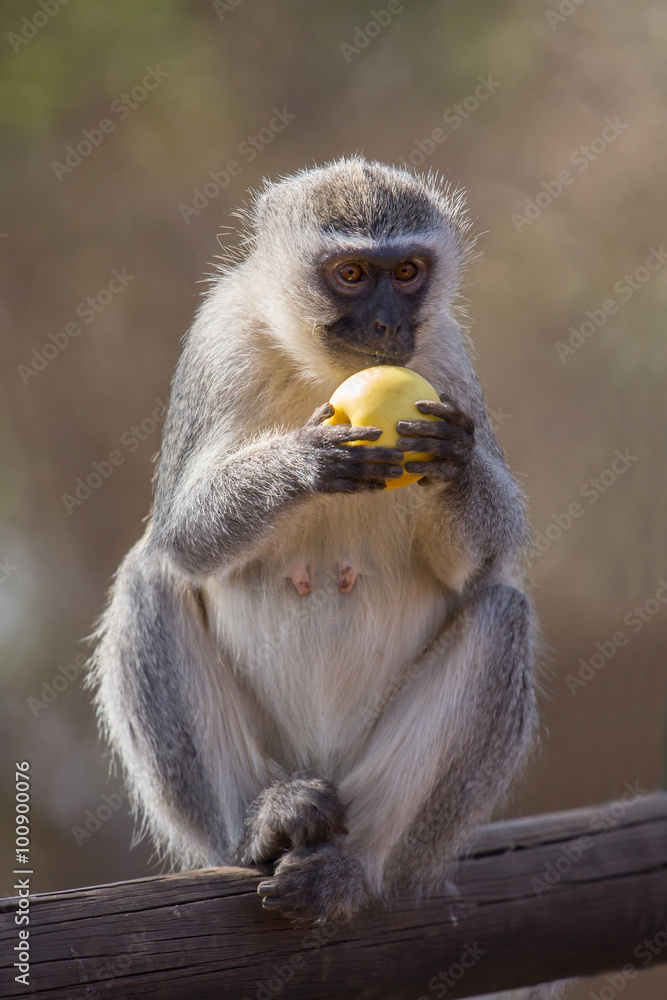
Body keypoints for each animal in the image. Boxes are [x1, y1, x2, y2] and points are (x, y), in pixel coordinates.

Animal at [91, 158, 536, 936]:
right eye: (352, 274)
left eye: (408, 271)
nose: (389, 323)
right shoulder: (219, 340)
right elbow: (181, 537)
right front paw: (306, 461)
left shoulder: (447, 360)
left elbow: (482, 565)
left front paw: (452, 460)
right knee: (150, 578)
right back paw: (260, 828)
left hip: (370, 792)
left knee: (501, 614)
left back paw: (354, 874)